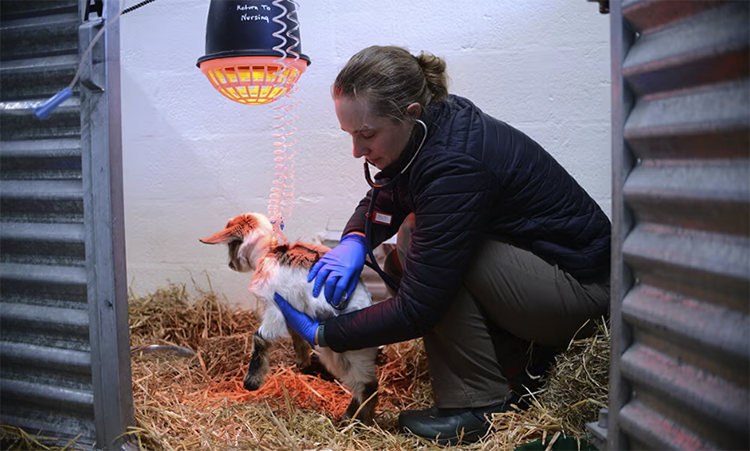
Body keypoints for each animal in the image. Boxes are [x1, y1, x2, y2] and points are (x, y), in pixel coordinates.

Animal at [200, 212, 379, 425]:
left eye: (232, 243)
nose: (230, 264)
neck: (267, 253)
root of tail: (367, 305)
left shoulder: (275, 307)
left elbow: (260, 338)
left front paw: (252, 382)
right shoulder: (292, 312)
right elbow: (296, 335)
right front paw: (302, 361)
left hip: (347, 353)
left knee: (366, 386)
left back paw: (355, 422)